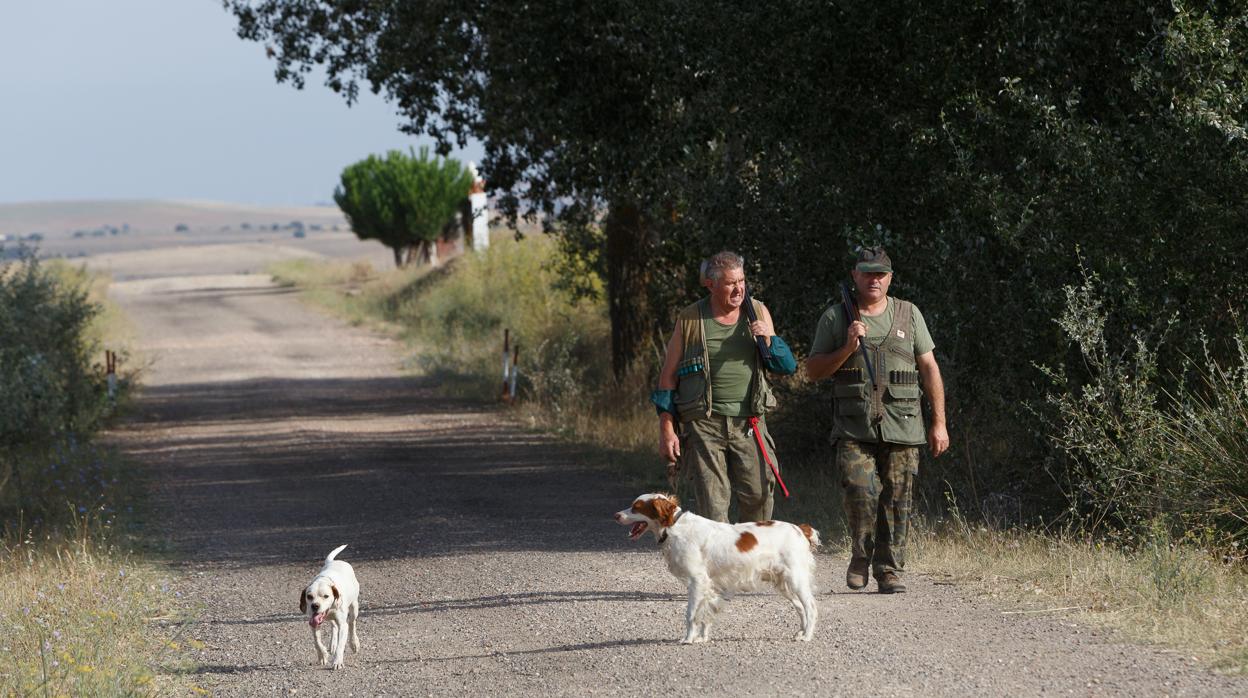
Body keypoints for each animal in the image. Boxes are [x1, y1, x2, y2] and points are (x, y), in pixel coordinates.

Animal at [614, 491, 818, 644]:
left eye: (636, 507)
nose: (616, 515)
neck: (673, 527)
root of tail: (800, 529)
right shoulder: (708, 585)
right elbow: (704, 612)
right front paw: (702, 637)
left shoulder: (697, 581)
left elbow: (691, 614)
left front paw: (688, 639)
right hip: (783, 583)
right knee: (800, 607)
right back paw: (801, 632)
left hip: (796, 579)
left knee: (810, 607)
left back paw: (807, 636)